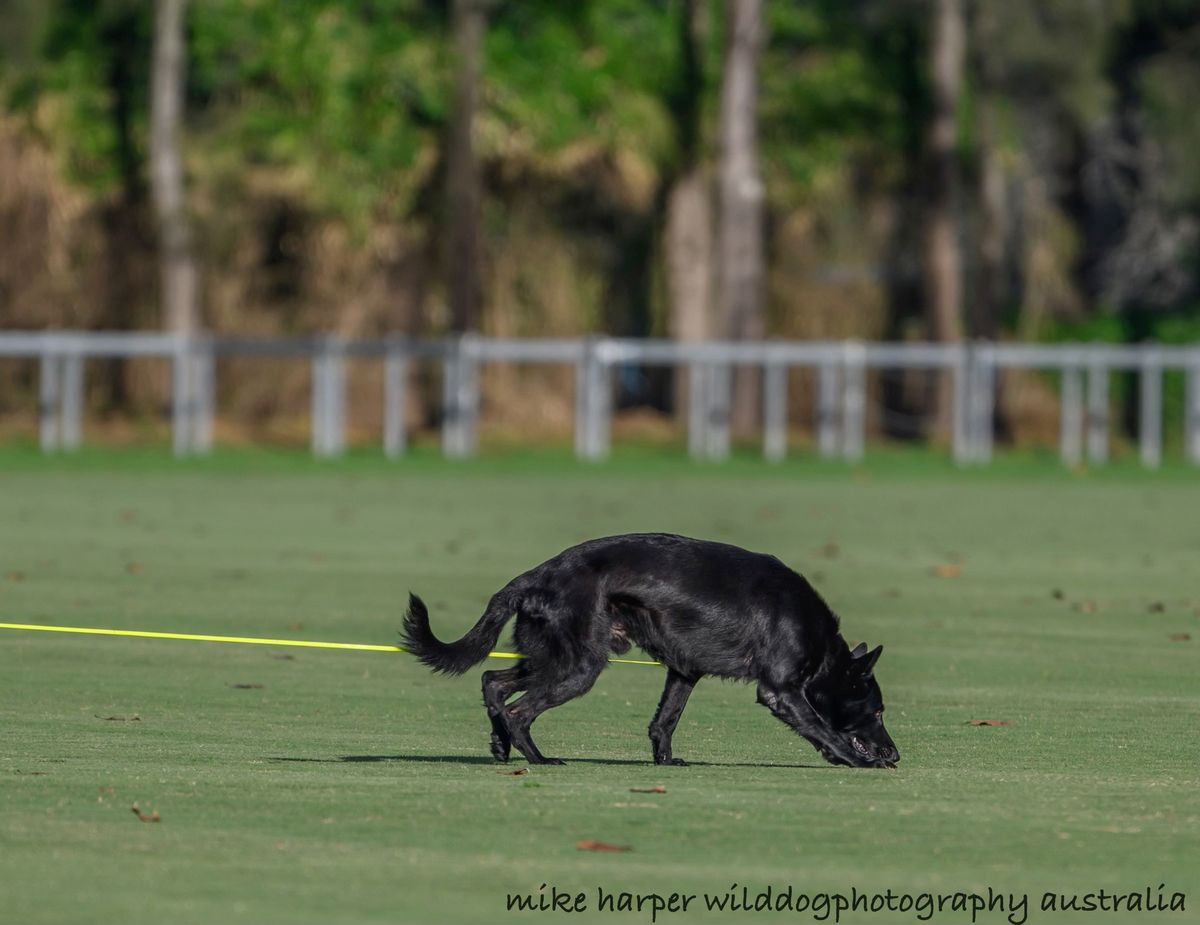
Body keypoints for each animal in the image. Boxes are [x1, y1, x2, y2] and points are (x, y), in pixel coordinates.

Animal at [403, 532, 902, 772]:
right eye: (878, 711)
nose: (895, 755)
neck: (818, 642)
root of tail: (533, 575)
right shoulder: (780, 691)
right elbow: (823, 729)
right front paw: (855, 761)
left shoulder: (684, 672)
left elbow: (665, 721)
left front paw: (665, 761)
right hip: (580, 666)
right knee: (519, 709)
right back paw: (538, 758)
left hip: (552, 658)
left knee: (493, 682)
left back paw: (501, 747)